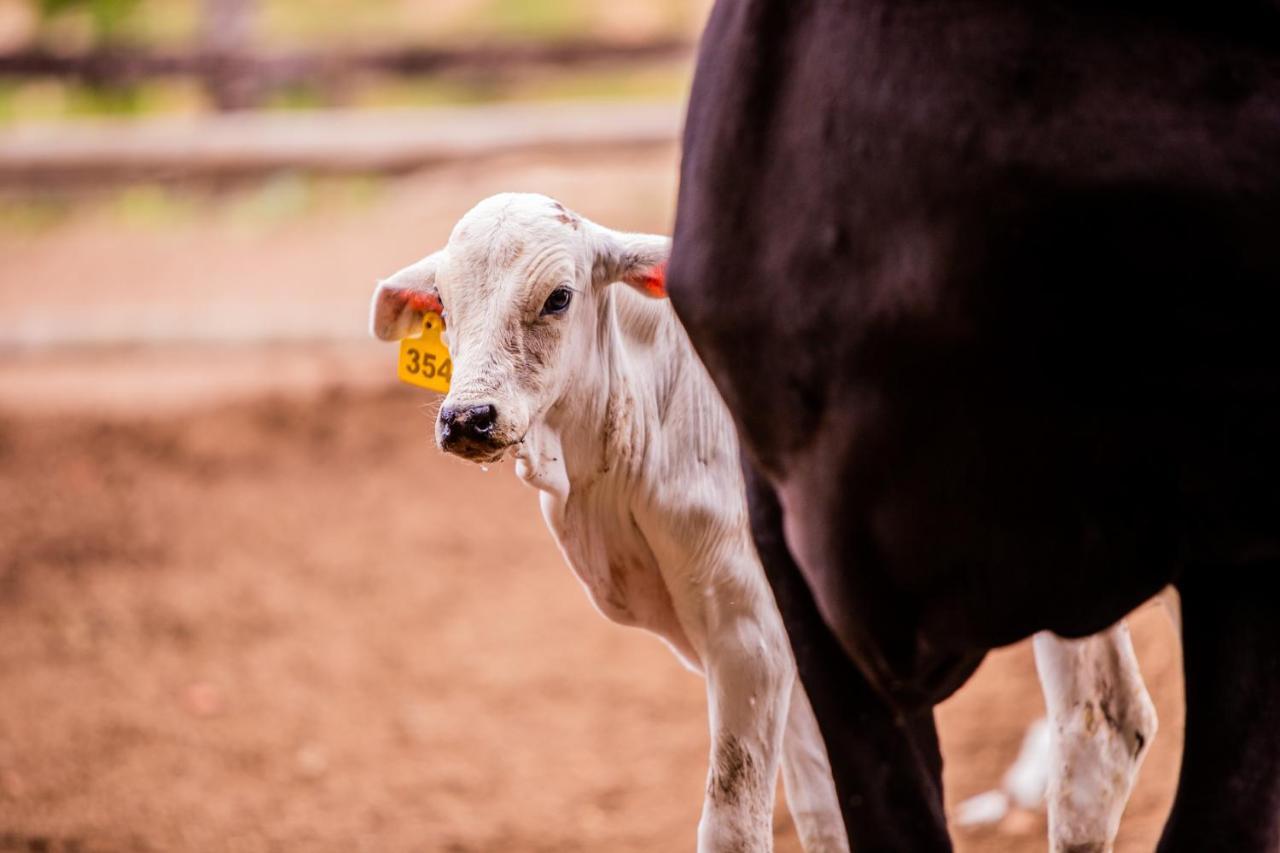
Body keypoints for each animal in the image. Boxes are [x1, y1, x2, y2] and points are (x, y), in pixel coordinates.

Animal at [371, 194, 849, 850]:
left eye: (559, 297)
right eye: (441, 301)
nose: (467, 417)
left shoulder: (749, 632)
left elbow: (734, 821)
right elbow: (824, 806)